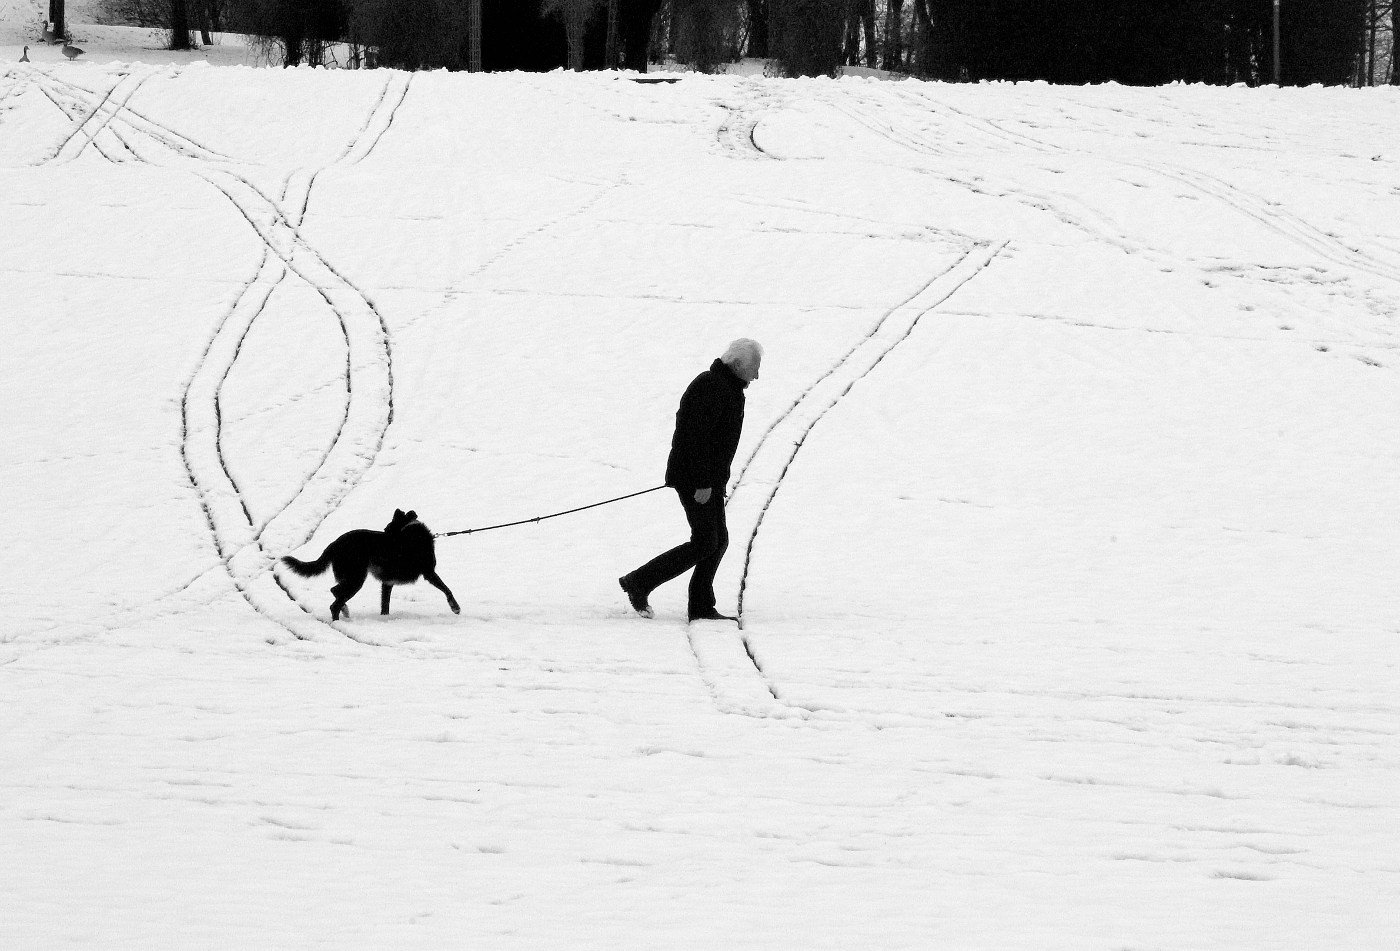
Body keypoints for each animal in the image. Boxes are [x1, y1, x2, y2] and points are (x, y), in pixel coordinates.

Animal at [281, 509, 462, 621]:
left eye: (387, 529)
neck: (407, 529)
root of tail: (335, 544)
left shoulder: (387, 582)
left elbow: (385, 604)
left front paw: (385, 619)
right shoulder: (429, 572)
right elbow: (446, 589)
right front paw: (455, 607)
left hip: (351, 577)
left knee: (335, 592)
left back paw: (345, 611)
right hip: (356, 578)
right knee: (335, 603)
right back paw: (339, 620)